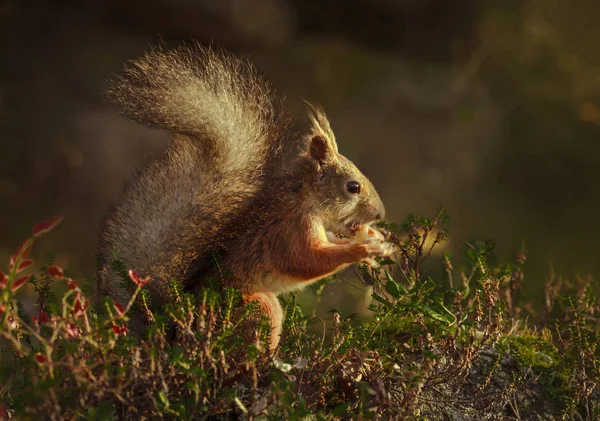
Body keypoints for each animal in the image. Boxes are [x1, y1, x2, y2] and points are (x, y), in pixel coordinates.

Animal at [96, 44, 392, 350]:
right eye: (353, 187)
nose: (380, 214)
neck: (303, 198)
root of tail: (177, 335)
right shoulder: (290, 231)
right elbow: (307, 260)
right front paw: (362, 250)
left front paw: (375, 239)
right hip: (257, 306)